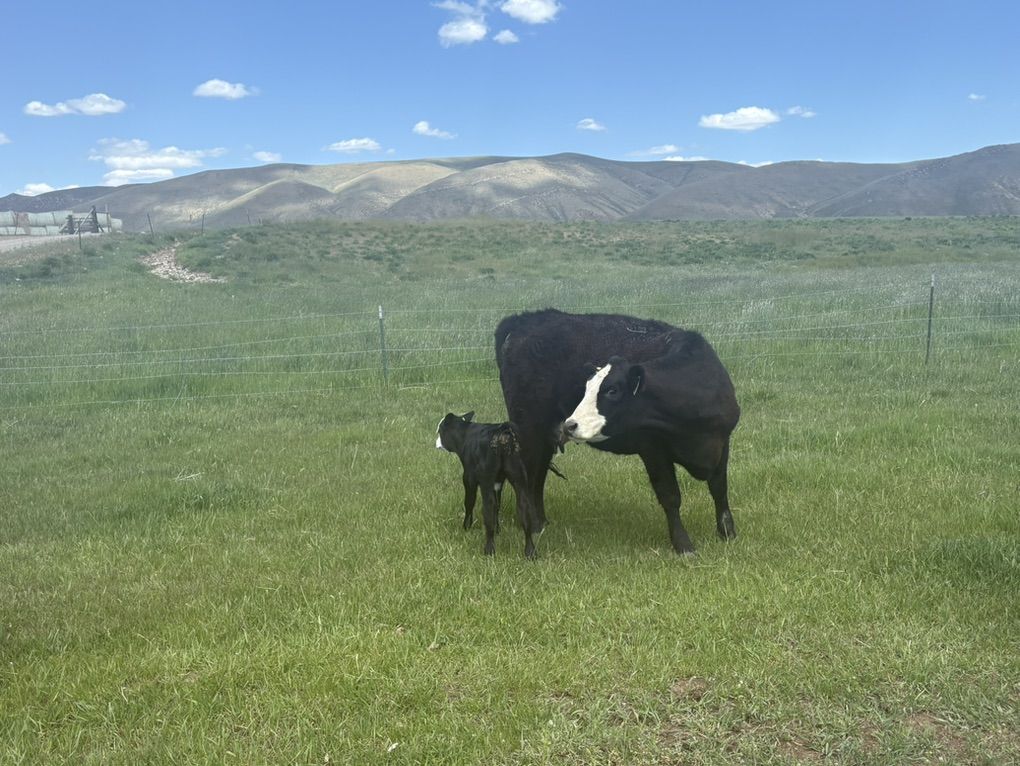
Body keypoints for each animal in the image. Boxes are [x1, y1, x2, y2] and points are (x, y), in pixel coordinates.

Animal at [435, 412, 539, 558]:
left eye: (439, 431)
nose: (436, 442)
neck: (465, 435)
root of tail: (502, 432)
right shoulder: (497, 484)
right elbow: (498, 506)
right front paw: (498, 530)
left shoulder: (469, 478)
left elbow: (469, 502)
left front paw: (466, 527)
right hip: (519, 478)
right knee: (524, 508)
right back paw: (530, 552)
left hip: (486, 480)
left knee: (488, 507)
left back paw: (489, 550)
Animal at [494, 309, 739, 556]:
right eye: (587, 388)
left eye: (612, 390)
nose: (570, 425)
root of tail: (524, 319)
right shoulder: (653, 449)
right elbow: (670, 496)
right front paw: (683, 545)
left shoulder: (722, 443)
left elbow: (719, 489)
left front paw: (727, 533)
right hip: (528, 429)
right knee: (527, 477)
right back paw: (533, 526)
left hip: (544, 436)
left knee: (539, 475)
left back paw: (542, 522)